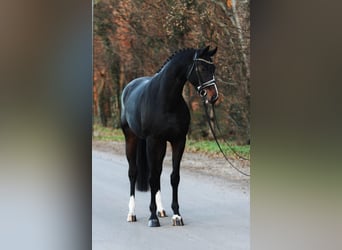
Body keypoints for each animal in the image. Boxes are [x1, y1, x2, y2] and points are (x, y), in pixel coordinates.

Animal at [120, 45, 218, 227]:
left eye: (213, 68)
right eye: (201, 68)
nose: (213, 96)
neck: (166, 99)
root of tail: (128, 87)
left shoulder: (178, 141)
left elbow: (174, 177)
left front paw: (177, 215)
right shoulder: (152, 141)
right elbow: (152, 178)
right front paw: (152, 218)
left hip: (161, 145)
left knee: (158, 172)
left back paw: (161, 210)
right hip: (131, 139)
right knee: (133, 173)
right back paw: (132, 213)